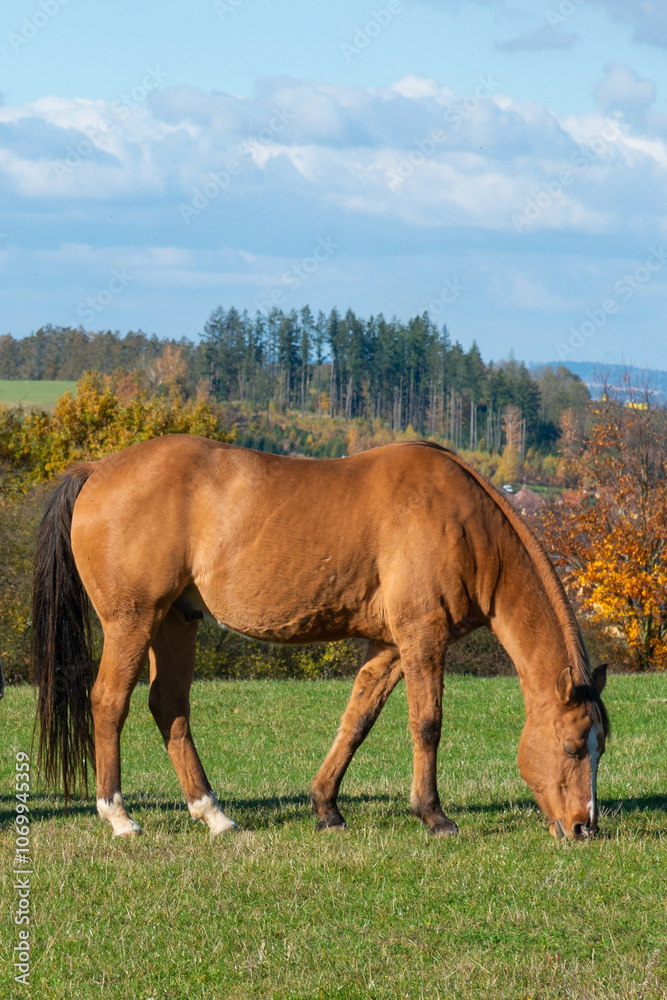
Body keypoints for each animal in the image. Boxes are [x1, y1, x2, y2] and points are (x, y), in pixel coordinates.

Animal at [31, 436, 608, 840]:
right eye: (573, 745)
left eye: (600, 746)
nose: (585, 827)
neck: (462, 519)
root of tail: (98, 470)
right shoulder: (422, 637)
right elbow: (427, 725)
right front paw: (434, 815)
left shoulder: (390, 647)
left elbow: (356, 722)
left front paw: (327, 806)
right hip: (133, 621)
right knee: (109, 702)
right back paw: (119, 816)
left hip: (175, 621)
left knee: (168, 706)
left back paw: (213, 814)